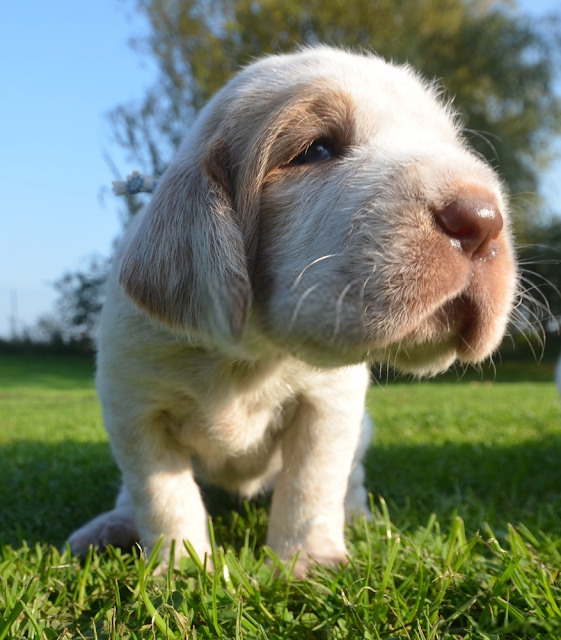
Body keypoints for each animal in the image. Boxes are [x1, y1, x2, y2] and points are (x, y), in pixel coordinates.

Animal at [68, 45, 520, 576]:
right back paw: (110, 528)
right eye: (317, 150)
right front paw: (183, 570)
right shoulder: (134, 409)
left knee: (351, 480)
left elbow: (312, 485)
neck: (251, 352)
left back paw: (361, 519)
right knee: (129, 495)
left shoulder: (329, 406)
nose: (484, 220)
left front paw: (308, 561)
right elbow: (162, 495)